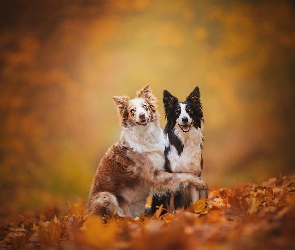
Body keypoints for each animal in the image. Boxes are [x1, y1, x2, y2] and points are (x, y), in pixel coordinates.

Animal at [89, 85, 207, 218]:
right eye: (132, 110)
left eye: (145, 106)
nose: (142, 115)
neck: (146, 136)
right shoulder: (156, 175)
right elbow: (183, 175)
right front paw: (200, 182)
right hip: (106, 197)